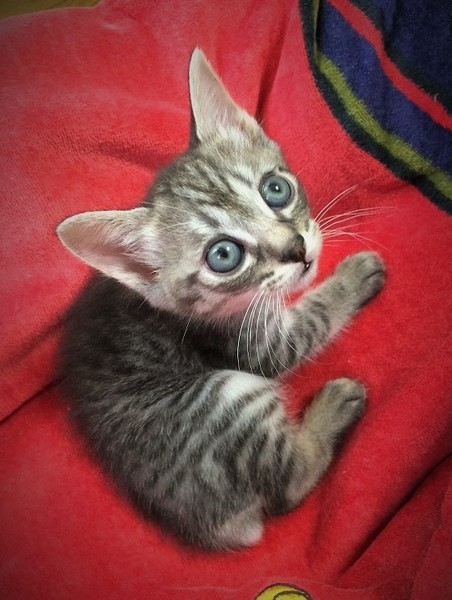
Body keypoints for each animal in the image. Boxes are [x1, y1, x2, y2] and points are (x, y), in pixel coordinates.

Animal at [57, 48, 385, 550]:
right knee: (290, 483)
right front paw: (352, 275)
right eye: (224, 255)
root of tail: (217, 525)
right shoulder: (260, 348)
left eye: (276, 189)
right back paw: (335, 404)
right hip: (228, 394)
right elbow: (315, 316)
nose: (298, 250)